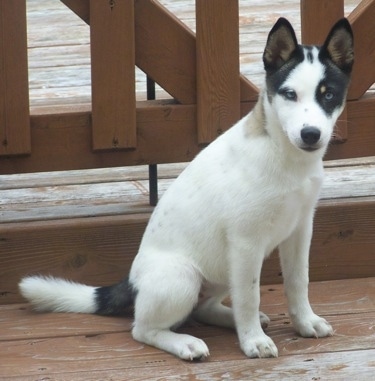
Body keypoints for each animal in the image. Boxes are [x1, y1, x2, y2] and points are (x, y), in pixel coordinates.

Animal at [19, 17, 356, 360]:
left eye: (328, 95)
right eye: (289, 94)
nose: (311, 134)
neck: (284, 155)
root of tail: (132, 282)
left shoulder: (299, 230)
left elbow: (298, 281)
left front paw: (304, 322)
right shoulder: (246, 242)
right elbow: (250, 296)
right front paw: (253, 340)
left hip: (220, 269)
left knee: (202, 308)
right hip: (184, 276)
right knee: (142, 329)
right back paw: (186, 344)